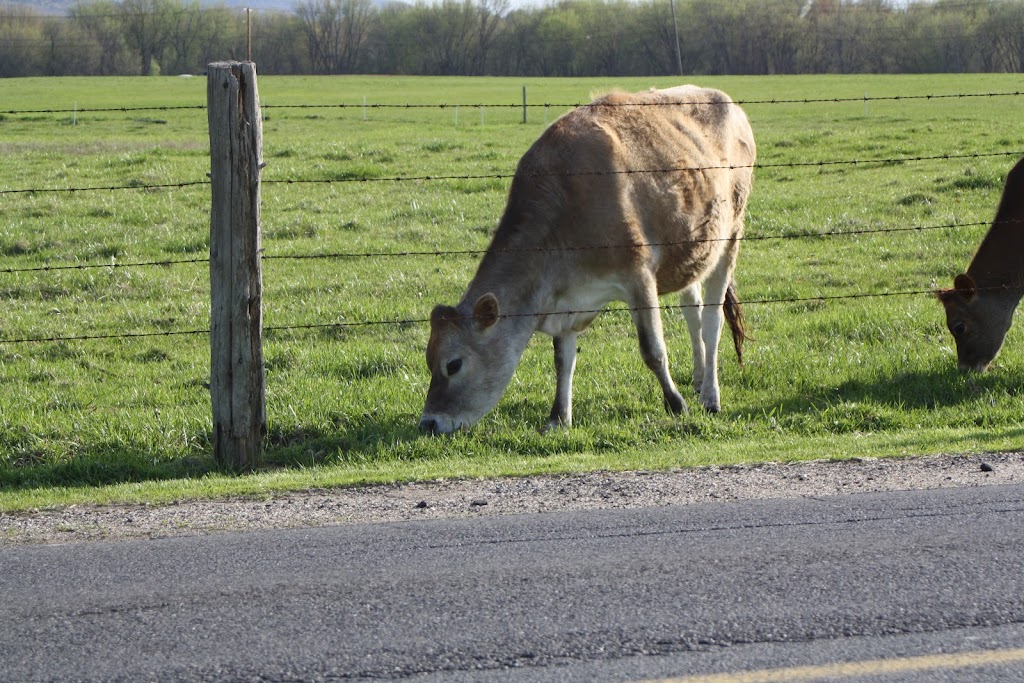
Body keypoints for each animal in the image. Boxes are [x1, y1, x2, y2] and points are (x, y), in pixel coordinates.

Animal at [415, 85, 753, 432]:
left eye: (453, 365)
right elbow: (562, 359)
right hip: (693, 251)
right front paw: (558, 417)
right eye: (428, 361)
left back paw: (710, 396)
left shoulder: (638, 276)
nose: (428, 422)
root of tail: (726, 100)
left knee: (712, 320)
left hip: (730, 234)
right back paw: (698, 379)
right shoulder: (566, 297)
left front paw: (675, 403)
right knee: (692, 312)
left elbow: (653, 350)